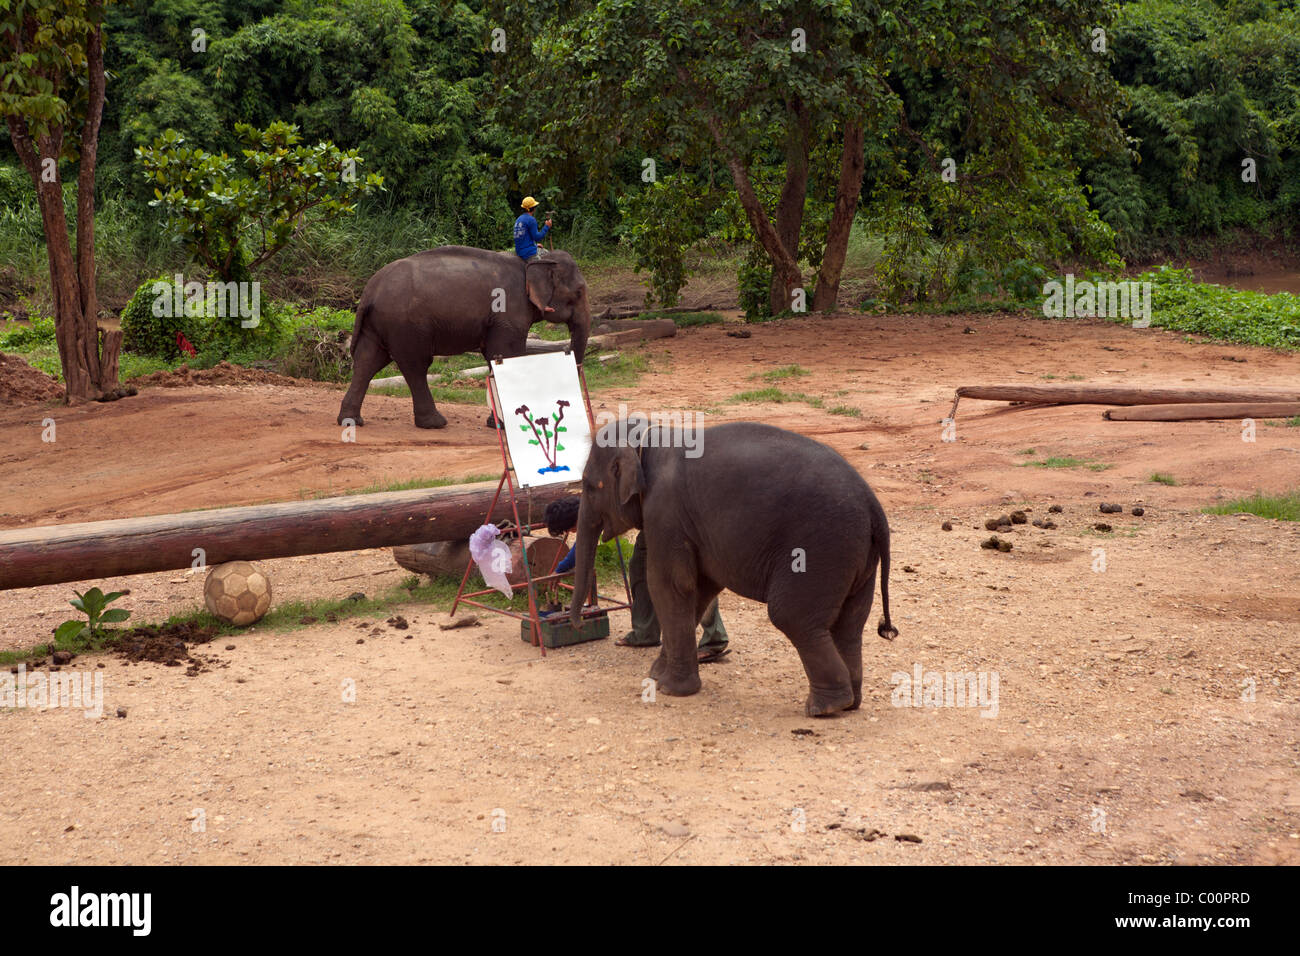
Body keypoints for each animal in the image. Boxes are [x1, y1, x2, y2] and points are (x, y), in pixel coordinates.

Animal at [336, 246, 591, 429]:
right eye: (579, 292)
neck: (534, 261)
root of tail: (369, 291)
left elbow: (493, 356)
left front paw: (496, 424)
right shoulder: (508, 312)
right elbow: (506, 354)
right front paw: (503, 423)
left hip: (380, 323)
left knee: (368, 361)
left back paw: (350, 422)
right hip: (406, 324)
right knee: (415, 365)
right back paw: (435, 423)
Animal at [570, 419, 898, 717]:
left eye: (588, 486)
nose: (579, 624)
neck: (651, 436)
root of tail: (874, 507)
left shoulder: (665, 512)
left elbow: (670, 585)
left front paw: (670, 689)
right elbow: (700, 589)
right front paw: (657, 676)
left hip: (822, 548)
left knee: (791, 617)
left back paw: (825, 708)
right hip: (856, 558)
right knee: (849, 625)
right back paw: (850, 703)